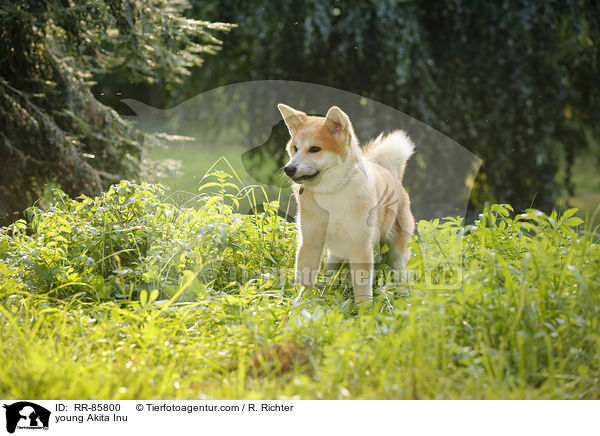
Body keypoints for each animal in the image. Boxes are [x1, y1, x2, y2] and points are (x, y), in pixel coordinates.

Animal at [278, 104, 414, 304]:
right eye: (295, 148)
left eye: (315, 149)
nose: (289, 169)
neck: (331, 193)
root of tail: (392, 176)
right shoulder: (310, 242)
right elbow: (304, 280)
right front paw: (299, 304)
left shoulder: (361, 247)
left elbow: (362, 288)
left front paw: (365, 310)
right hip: (333, 258)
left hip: (396, 253)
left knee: (400, 274)